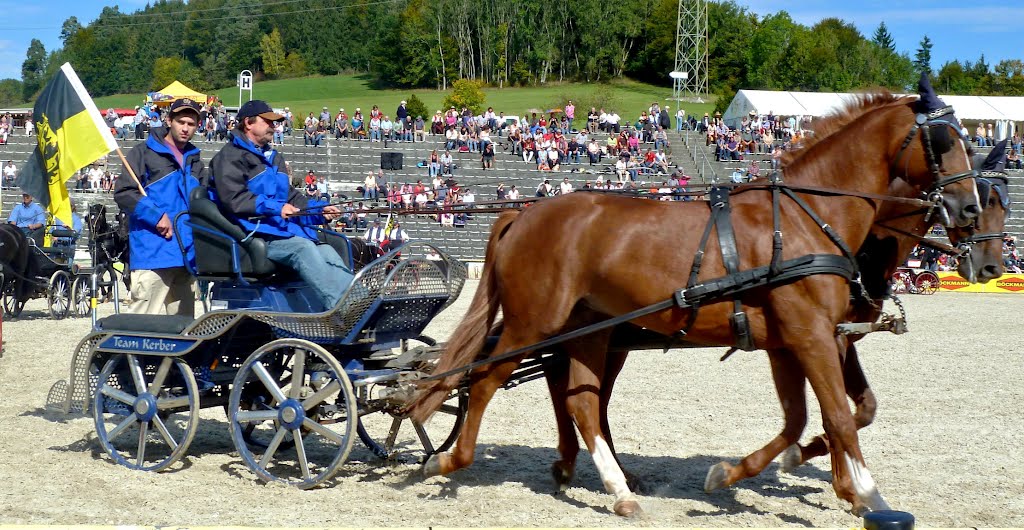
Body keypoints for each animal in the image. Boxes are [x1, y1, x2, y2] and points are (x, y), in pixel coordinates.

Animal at [411, 93, 978, 517]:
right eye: (945, 141)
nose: (970, 210)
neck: (805, 217)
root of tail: (522, 213)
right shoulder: (813, 334)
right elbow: (838, 415)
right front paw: (865, 492)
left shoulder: (792, 341)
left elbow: (802, 418)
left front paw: (736, 472)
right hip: (532, 323)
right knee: (485, 379)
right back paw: (450, 460)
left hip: (590, 329)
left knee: (580, 400)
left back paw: (617, 489)